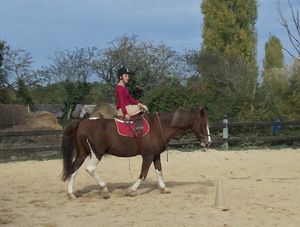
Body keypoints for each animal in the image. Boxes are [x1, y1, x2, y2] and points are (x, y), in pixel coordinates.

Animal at [61, 108, 211, 199]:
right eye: (203, 124)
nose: (209, 142)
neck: (158, 127)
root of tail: (82, 122)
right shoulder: (148, 156)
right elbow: (143, 174)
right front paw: (130, 190)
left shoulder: (156, 155)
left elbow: (159, 171)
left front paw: (164, 188)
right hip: (97, 153)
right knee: (90, 169)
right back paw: (104, 190)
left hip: (82, 154)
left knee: (73, 170)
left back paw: (71, 194)